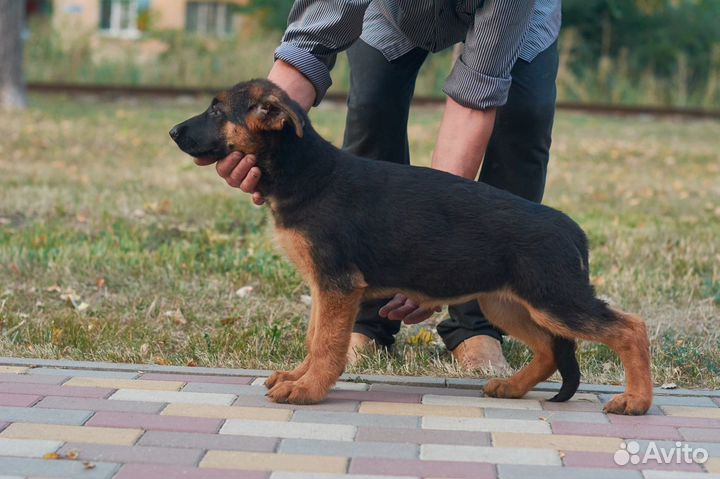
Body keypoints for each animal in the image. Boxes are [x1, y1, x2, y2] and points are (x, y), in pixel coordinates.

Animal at [172, 79, 656, 416]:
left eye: (217, 109)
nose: (174, 131)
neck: (303, 169)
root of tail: (572, 230)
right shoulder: (324, 288)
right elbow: (314, 338)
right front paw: (298, 377)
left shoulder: (338, 286)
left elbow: (327, 343)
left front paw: (308, 390)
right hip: (509, 303)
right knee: (551, 348)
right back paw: (513, 387)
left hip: (555, 300)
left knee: (630, 328)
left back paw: (636, 401)